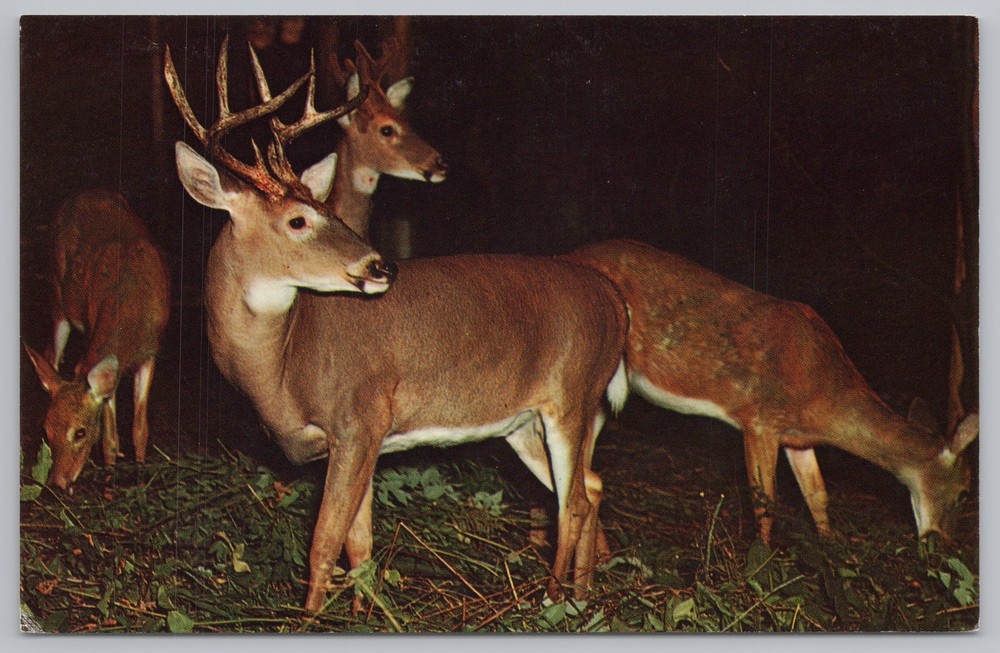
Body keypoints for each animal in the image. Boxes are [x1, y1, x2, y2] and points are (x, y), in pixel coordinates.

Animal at [24, 190, 170, 494]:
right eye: (46, 430)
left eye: (80, 432)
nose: (56, 483)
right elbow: (110, 438)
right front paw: (109, 487)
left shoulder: (150, 354)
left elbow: (140, 429)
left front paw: (141, 480)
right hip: (58, 297)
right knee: (51, 353)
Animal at [165, 38, 629, 613]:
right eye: (298, 220)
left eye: (328, 210)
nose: (380, 266)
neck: (282, 365)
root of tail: (614, 300)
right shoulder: (361, 440)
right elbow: (358, 546)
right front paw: (364, 613)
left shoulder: (358, 418)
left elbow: (322, 545)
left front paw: (310, 618)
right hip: (524, 422)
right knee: (591, 486)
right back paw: (582, 597)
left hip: (571, 398)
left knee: (573, 502)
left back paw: (551, 600)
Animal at [563, 239, 978, 546]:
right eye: (964, 492)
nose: (943, 544)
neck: (826, 392)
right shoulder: (760, 418)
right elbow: (765, 501)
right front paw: (760, 570)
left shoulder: (797, 438)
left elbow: (818, 496)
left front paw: (832, 550)